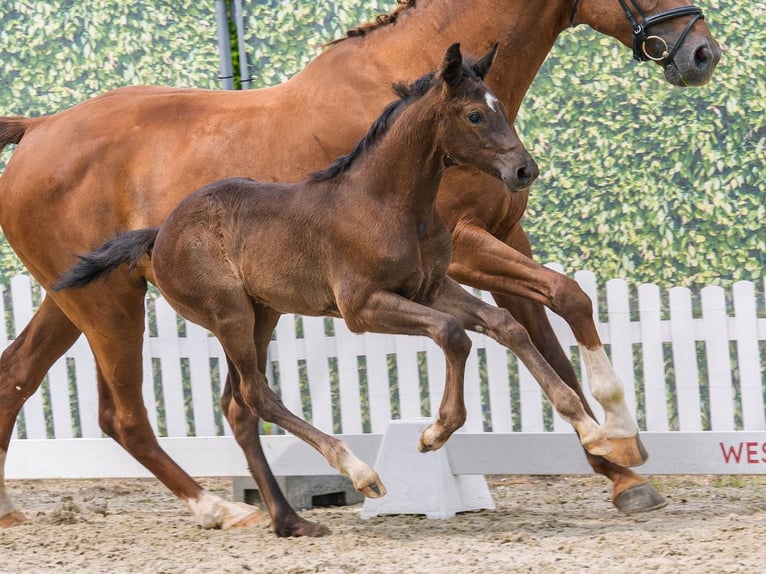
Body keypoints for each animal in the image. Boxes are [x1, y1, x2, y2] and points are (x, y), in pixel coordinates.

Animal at [0, 0, 720, 536]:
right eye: (473, 113)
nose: (702, 51)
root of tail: (37, 126)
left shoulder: (498, 237)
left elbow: (538, 326)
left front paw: (616, 461)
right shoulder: (465, 249)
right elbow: (560, 299)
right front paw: (616, 435)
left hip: (88, 298)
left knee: (21, 375)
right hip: (116, 306)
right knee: (134, 413)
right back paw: (227, 508)